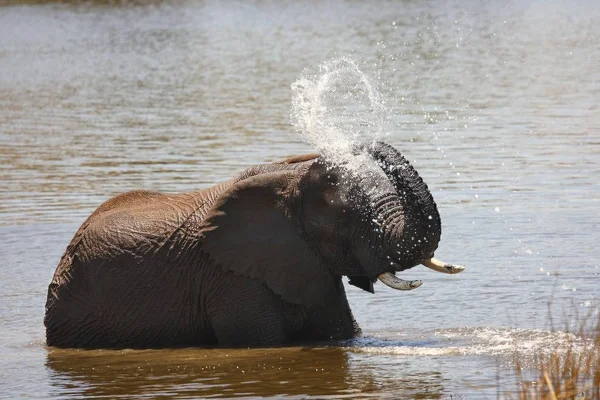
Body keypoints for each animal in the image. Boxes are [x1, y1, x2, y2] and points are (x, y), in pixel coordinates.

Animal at [43, 142, 464, 348]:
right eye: (346, 218)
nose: (357, 145)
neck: (288, 178)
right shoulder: (229, 277)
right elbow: (261, 342)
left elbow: (345, 333)